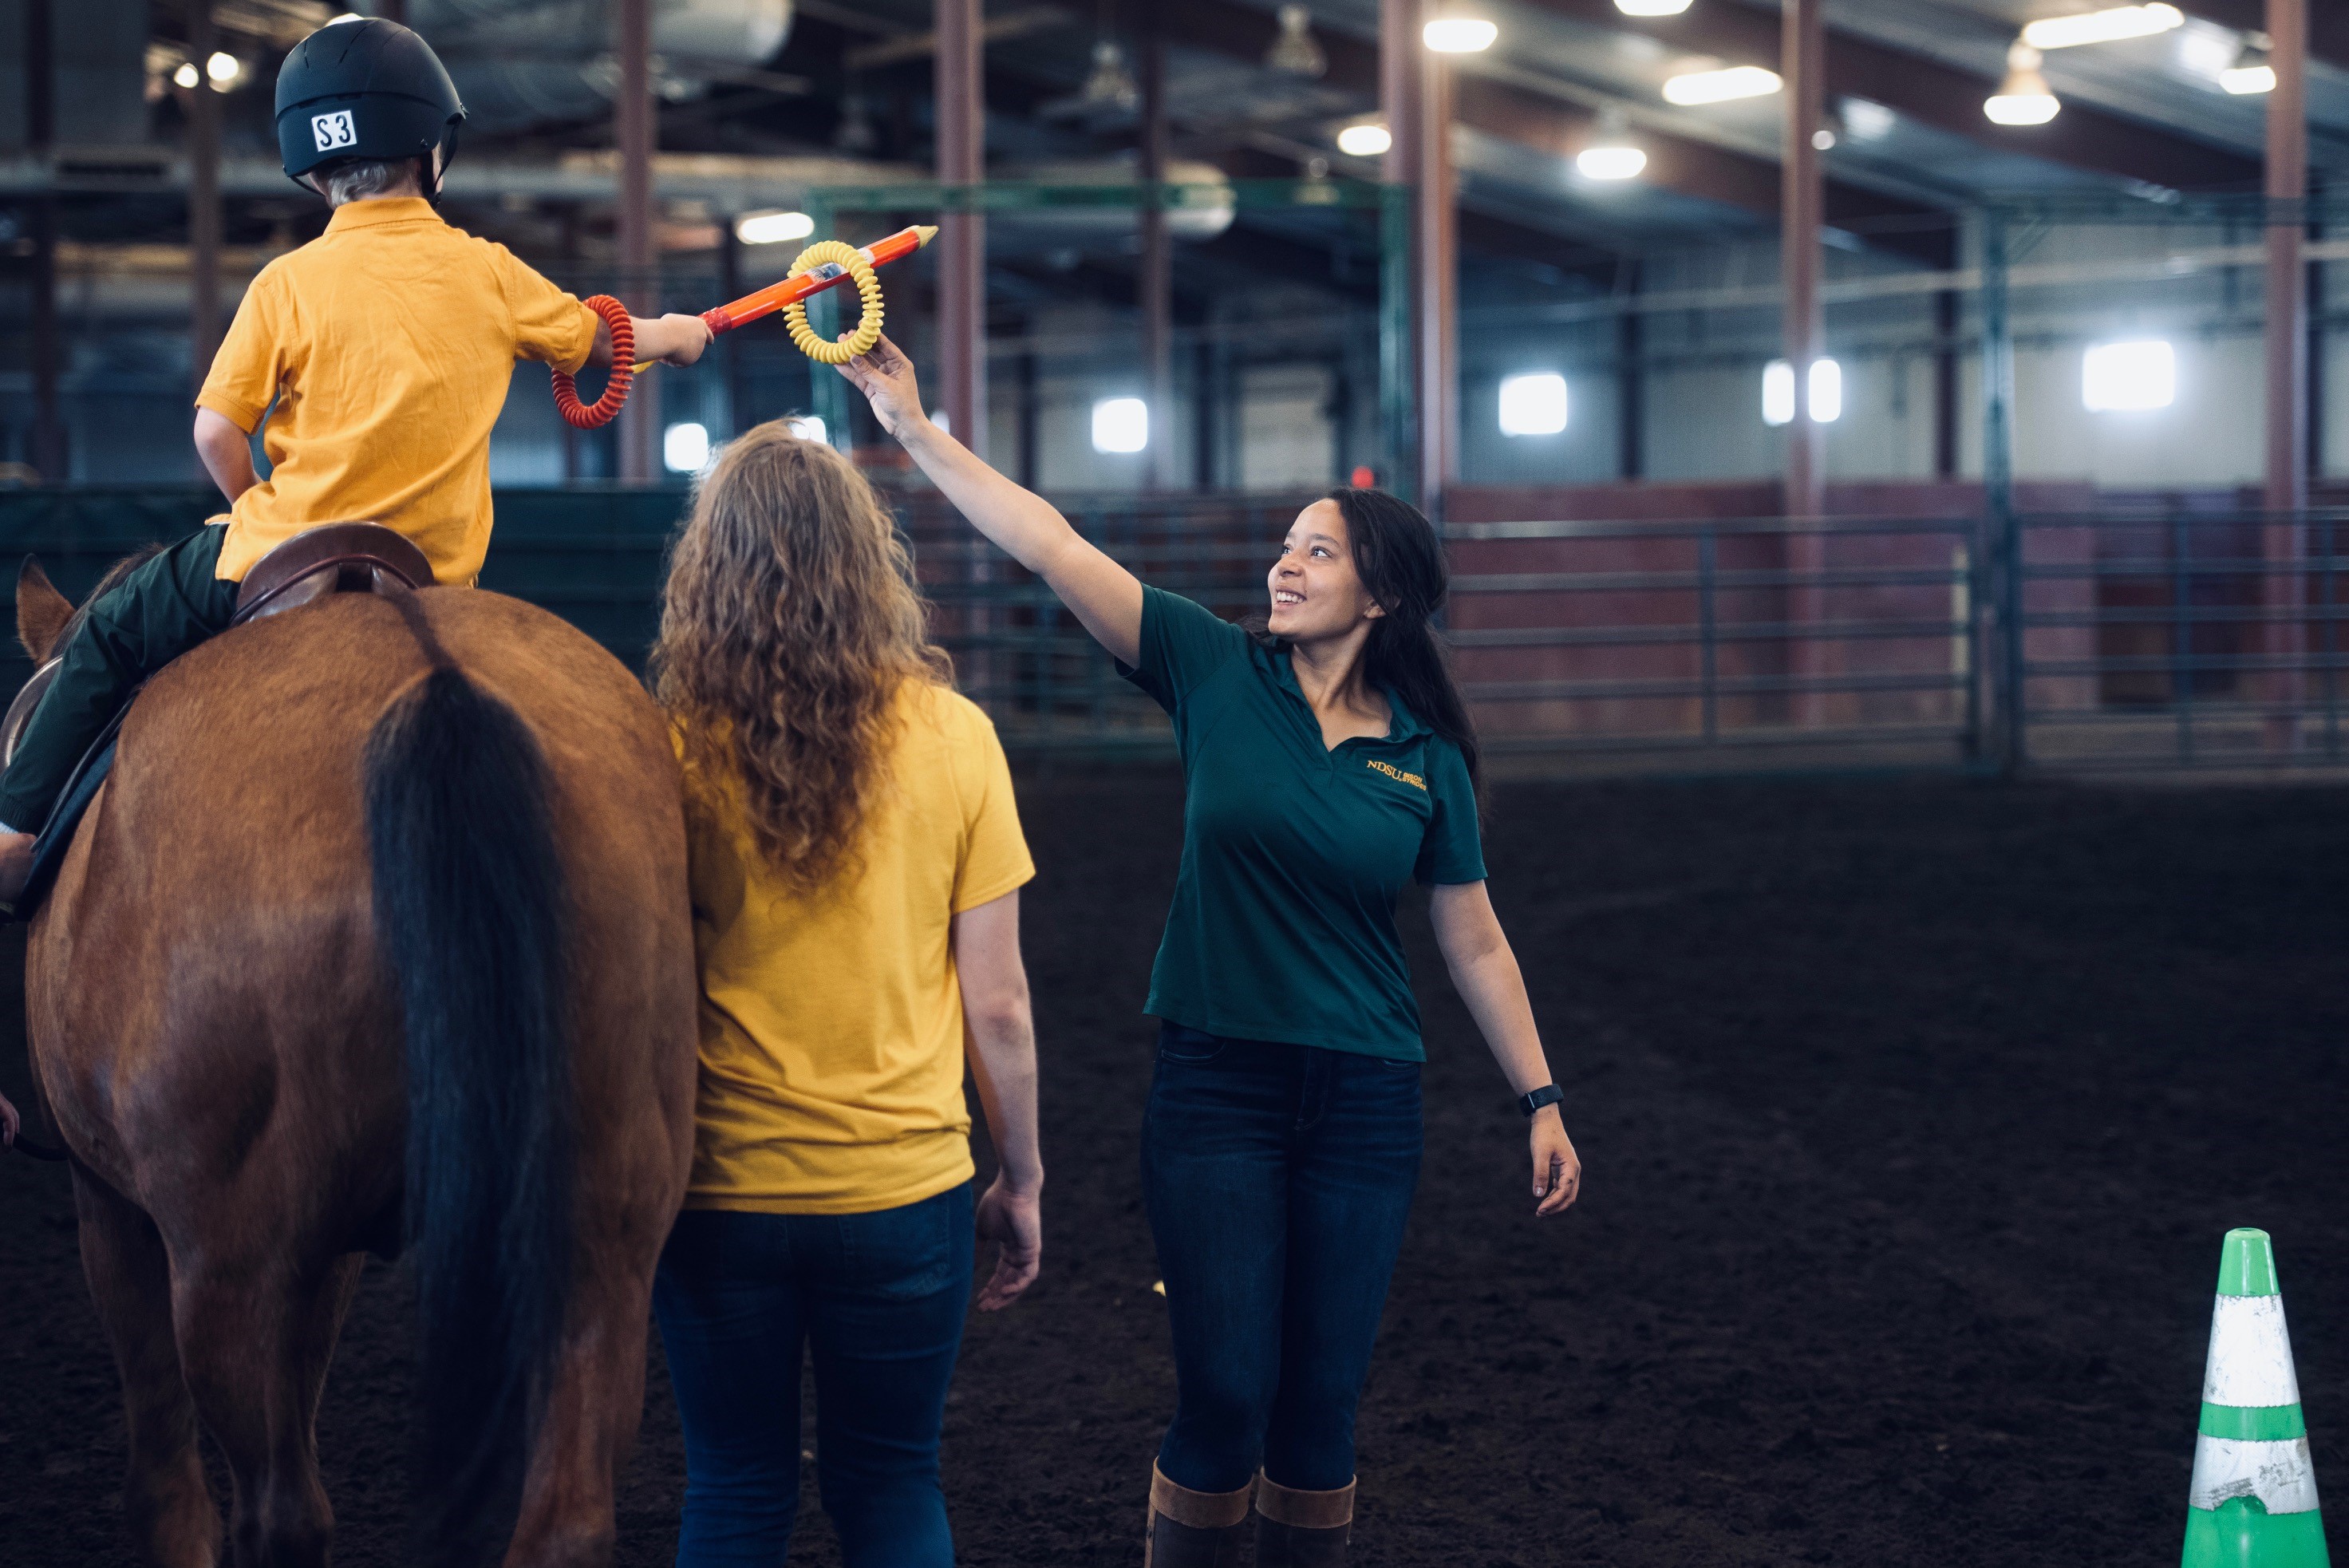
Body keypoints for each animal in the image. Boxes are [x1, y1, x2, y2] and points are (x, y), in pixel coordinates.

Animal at [16, 557, 695, 1561]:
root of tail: (439, 689)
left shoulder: (112, 1206)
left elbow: (168, 1486)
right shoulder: (328, 1247)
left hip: (229, 1267)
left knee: (280, 1510)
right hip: (602, 1234)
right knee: (566, 1517)